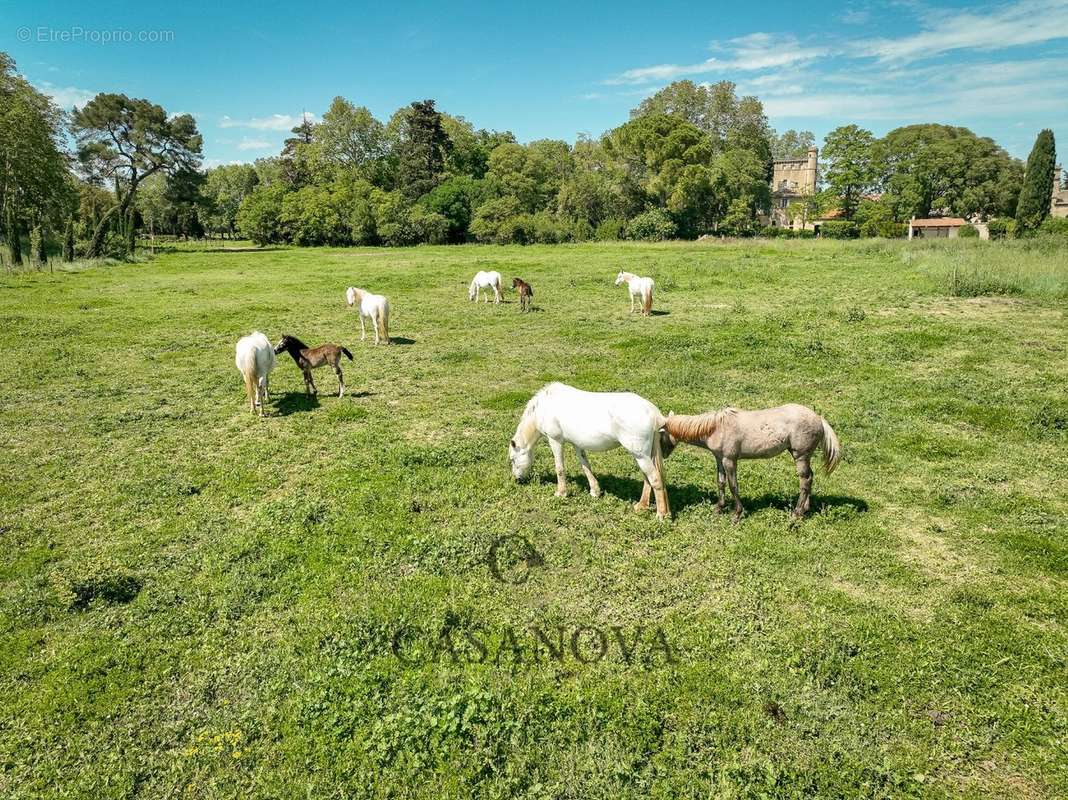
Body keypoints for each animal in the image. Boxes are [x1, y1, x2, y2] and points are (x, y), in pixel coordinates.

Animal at [506, 380, 666, 519]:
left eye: (513, 460)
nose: (517, 479)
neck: (544, 406)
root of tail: (653, 413)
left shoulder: (555, 440)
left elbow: (560, 468)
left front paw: (561, 493)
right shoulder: (577, 444)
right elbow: (585, 466)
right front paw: (595, 491)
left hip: (640, 456)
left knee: (655, 479)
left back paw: (661, 515)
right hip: (644, 456)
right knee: (647, 479)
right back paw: (641, 506)